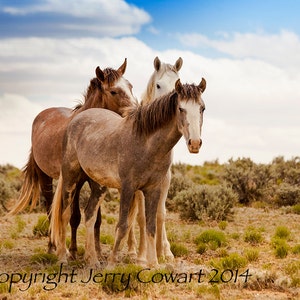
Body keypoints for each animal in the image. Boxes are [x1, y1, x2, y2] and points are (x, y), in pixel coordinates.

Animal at [9, 59, 136, 256]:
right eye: (114, 91)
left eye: (130, 86)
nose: (136, 111)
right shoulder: (75, 181)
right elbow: (74, 216)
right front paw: (74, 251)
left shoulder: (95, 180)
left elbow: (96, 218)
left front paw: (97, 252)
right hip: (47, 177)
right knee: (50, 208)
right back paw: (52, 246)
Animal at [49, 77, 206, 268]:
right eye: (181, 108)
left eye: (202, 108)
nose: (195, 143)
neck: (146, 144)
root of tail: (76, 119)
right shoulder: (128, 188)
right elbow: (123, 225)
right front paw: (112, 264)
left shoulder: (154, 189)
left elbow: (150, 226)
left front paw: (153, 264)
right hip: (71, 179)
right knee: (65, 214)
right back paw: (63, 257)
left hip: (98, 185)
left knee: (90, 215)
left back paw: (92, 260)